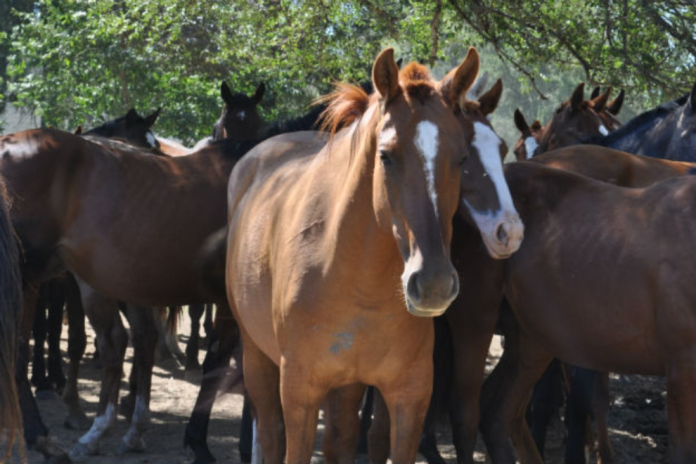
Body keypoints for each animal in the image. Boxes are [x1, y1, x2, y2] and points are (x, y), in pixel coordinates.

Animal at [223, 47, 523, 463]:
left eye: (461, 158)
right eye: (386, 156)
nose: (433, 285)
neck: (354, 276)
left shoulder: (409, 394)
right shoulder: (300, 391)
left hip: (346, 387)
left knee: (340, 436)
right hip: (257, 358)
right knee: (269, 433)